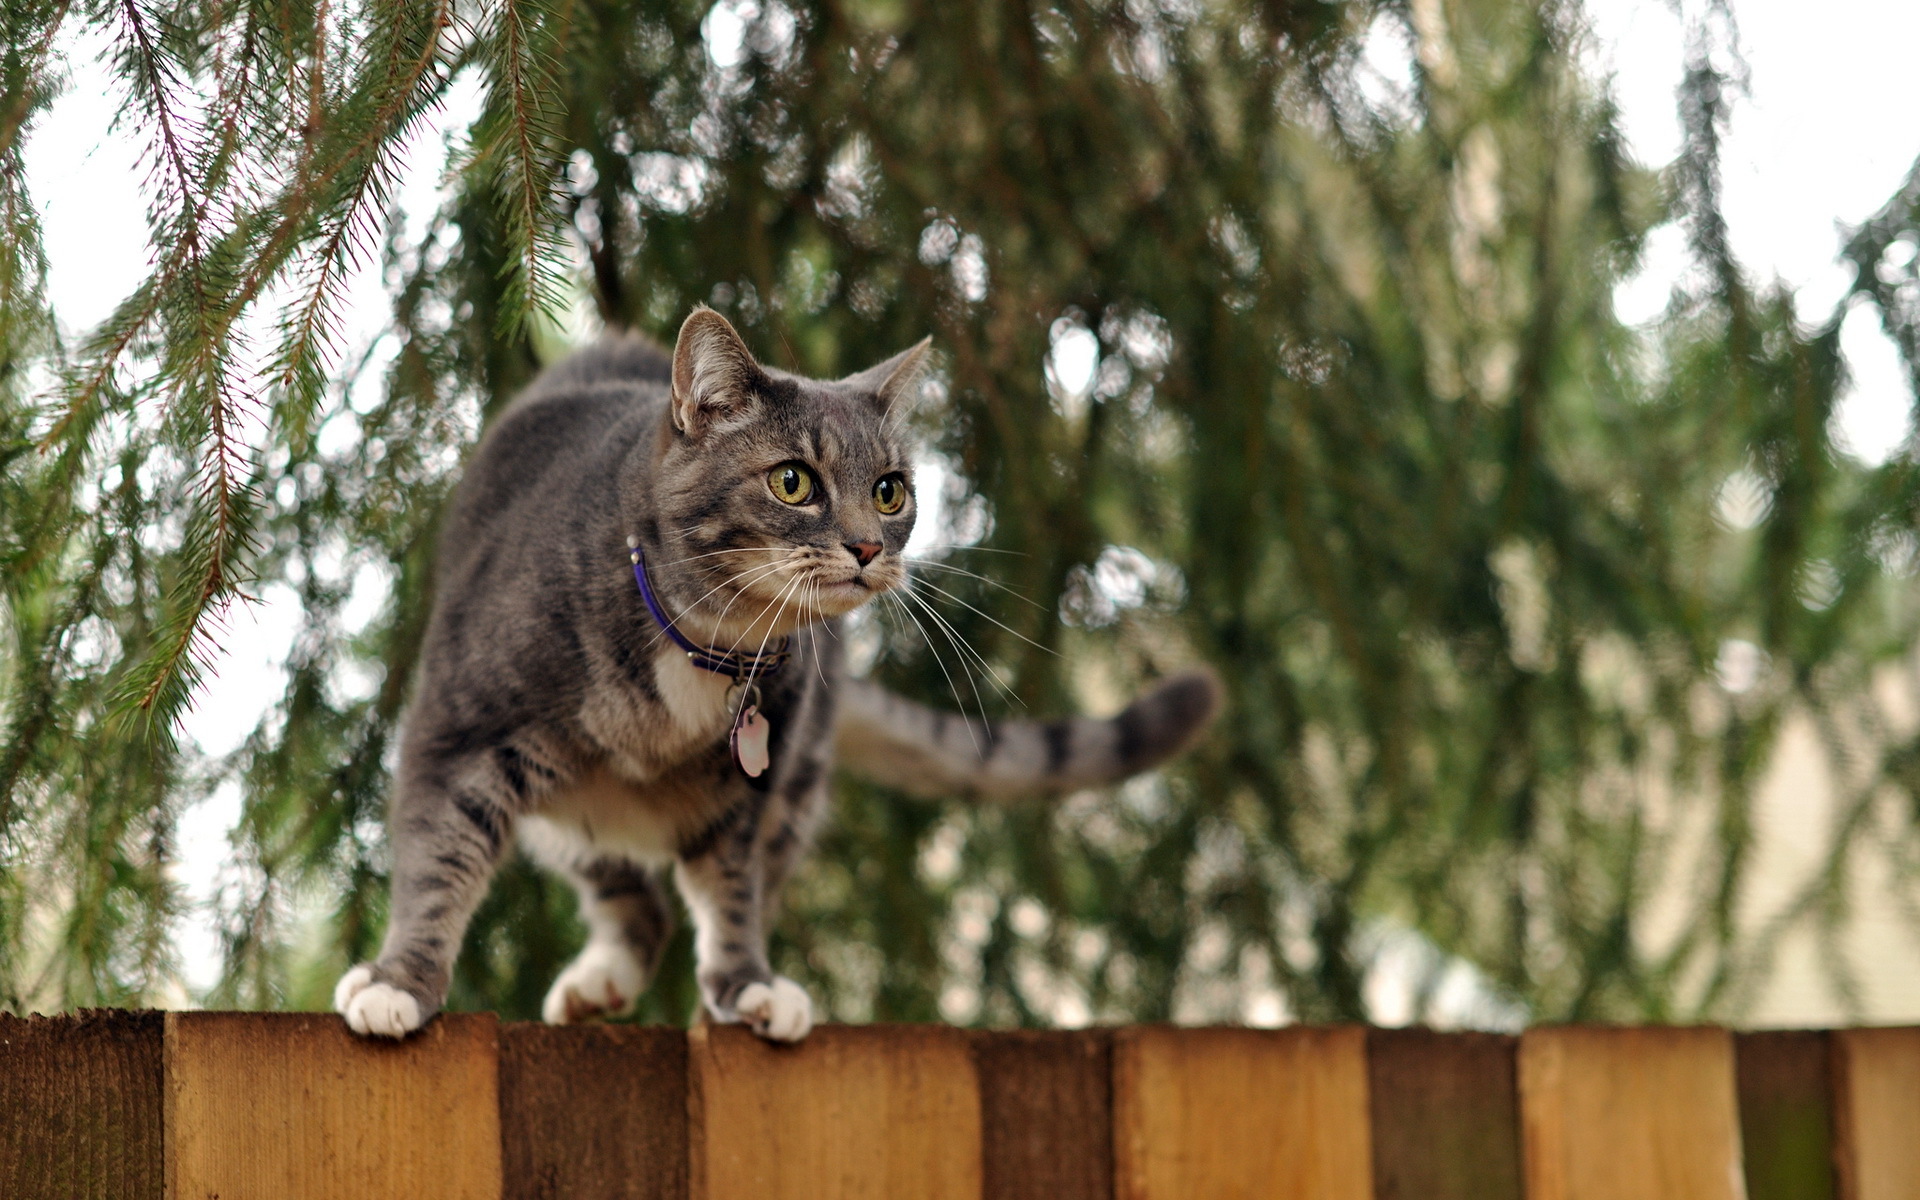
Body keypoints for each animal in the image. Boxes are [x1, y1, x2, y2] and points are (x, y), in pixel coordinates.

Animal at [337, 307, 1221, 1036]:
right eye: (793, 481)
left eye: (891, 491)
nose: (867, 545)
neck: (711, 643)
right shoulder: (455, 736)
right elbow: (437, 862)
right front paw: (399, 984)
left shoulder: (752, 791)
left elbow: (732, 887)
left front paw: (745, 984)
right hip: (566, 803)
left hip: (794, 788)